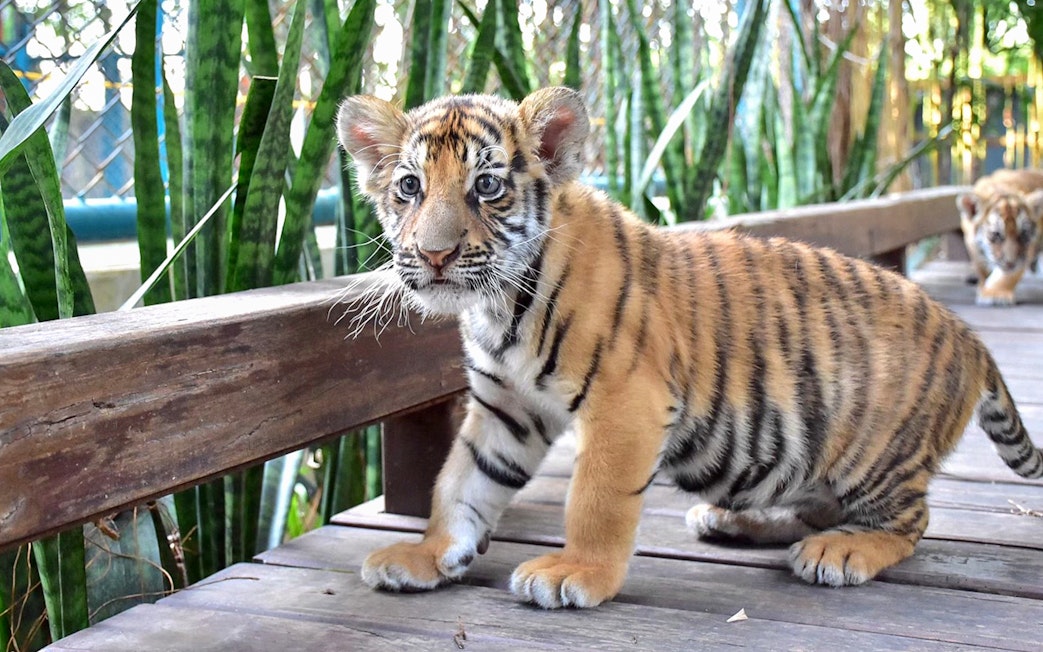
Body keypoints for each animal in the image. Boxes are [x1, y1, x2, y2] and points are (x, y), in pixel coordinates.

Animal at [956, 168, 1043, 306]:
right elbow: (982, 269)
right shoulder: (972, 245)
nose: (1010, 263)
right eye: (996, 234)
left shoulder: (1026, 251)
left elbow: (1006, 276)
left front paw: (994, 294)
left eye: (1023, 234)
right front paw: (982, 286)